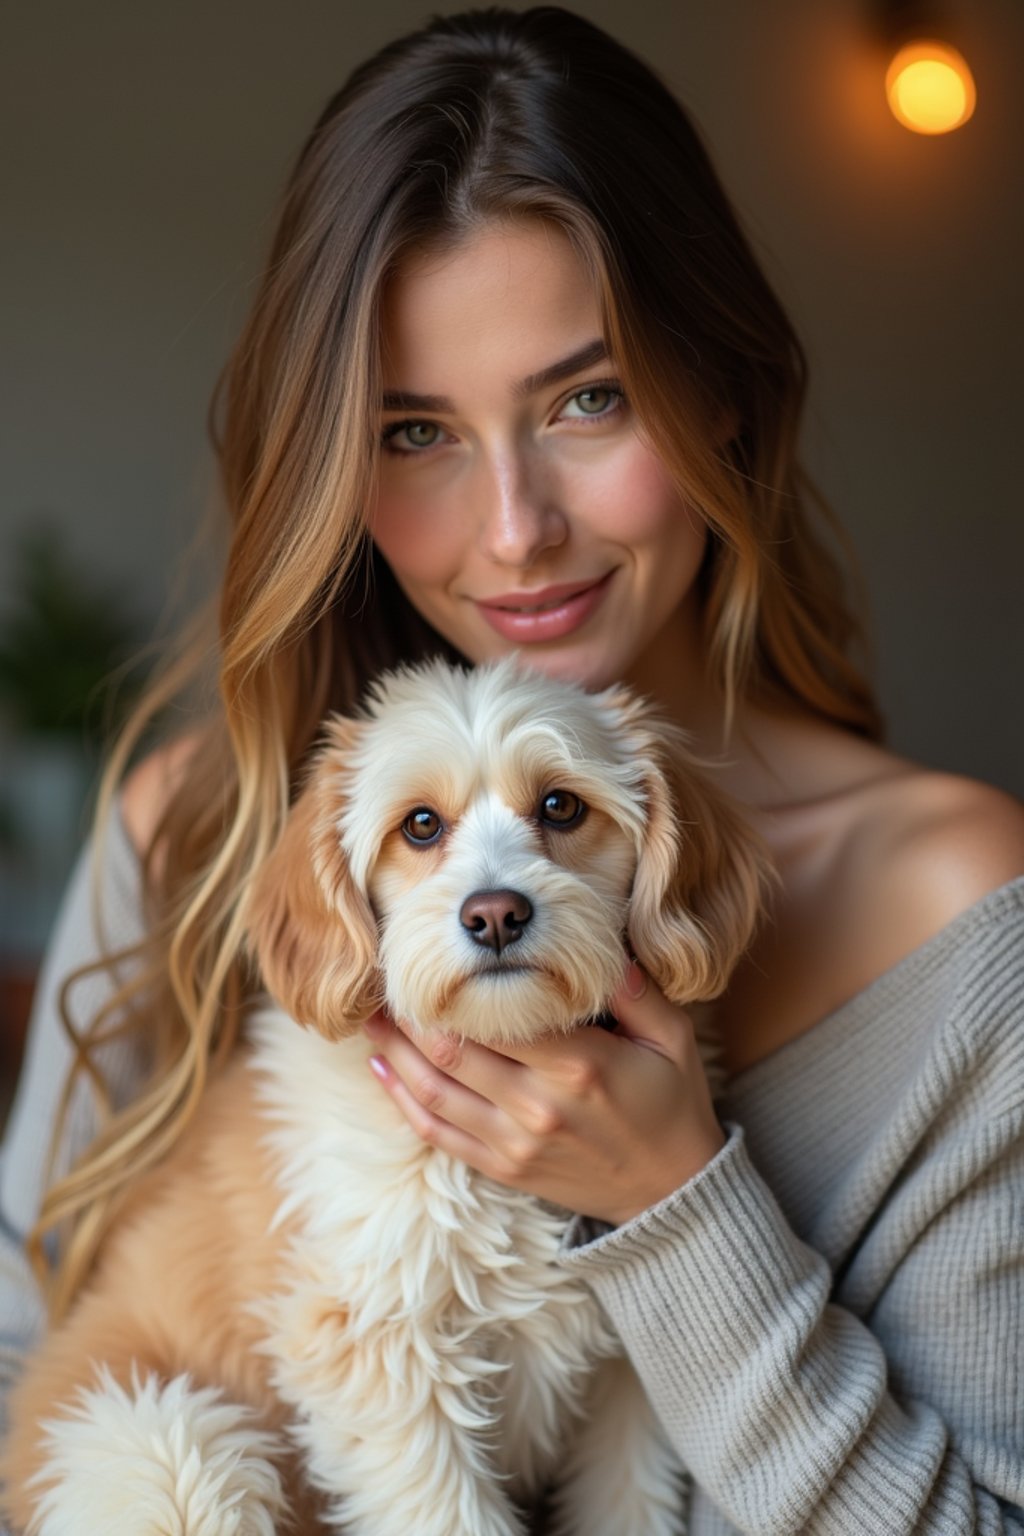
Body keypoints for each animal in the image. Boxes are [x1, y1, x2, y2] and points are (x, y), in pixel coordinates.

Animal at [2, 660, 767, 1536]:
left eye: (561, 806)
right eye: (422, 825)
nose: (495, 914)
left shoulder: (625, 1385)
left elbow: (625, 1506)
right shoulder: (376, 1355)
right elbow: (450, 1514)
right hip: (167, 1440)